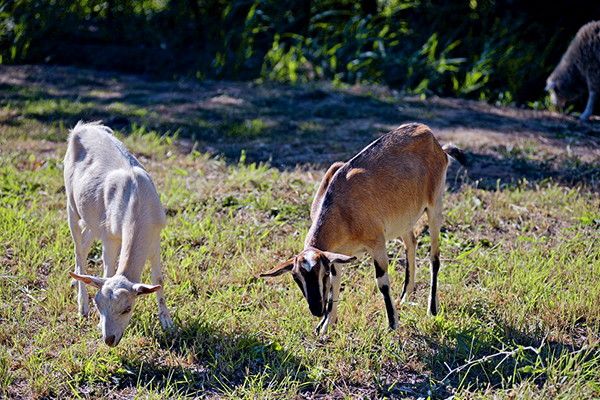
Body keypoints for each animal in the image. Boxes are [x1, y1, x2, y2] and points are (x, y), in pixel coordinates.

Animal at [66, 122, 173, 346]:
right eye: (98, 304)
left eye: (127, 308)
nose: (109, 339)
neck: (137, 203)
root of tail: (82, 126)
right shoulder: (110, 237)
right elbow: (107, 272)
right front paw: (97, 320)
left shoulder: (155, 237)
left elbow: (158, 279)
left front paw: (167, 322)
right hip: (71, 204)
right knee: (78, 247)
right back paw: (81, 305)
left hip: (93, 219)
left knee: (86, 240)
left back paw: (75, 279)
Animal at [260, 122, 466, 334]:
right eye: (295, 277)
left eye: (322, 274)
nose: (317, 309)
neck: (341, 209)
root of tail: (437, 144)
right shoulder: (337, 254)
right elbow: (335, 286)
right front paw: (325, 326)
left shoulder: (377, 244)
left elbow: (382, 283)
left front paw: (392, 324)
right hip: (404, 218)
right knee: (411, 244)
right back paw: (405, 297)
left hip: (435, 204)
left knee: (434, 257)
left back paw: (432, 309)